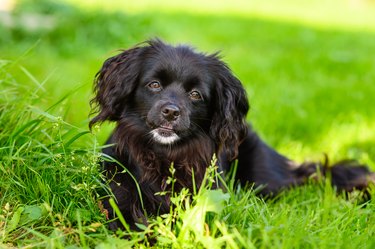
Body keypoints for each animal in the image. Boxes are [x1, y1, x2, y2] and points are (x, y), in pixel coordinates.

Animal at [89, 39, 374, 231]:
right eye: (154, 84)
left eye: (195, 94)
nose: (171, 112)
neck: (164, 155)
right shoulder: (117, 195)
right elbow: (129, 218)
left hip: (265, 181)